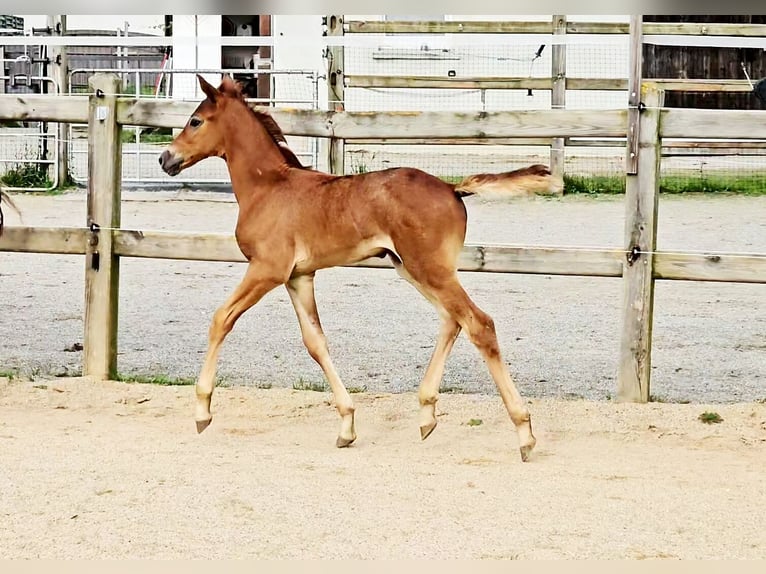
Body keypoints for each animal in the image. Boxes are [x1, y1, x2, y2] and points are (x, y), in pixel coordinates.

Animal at [160, 76, 564, 464]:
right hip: (413, 269)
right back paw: (427, 415)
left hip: (428, 269)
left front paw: (202, 412)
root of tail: (452, 189)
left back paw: (524, 434)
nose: (166, 158)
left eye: (195, 121)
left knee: (479, 323)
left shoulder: (267, 270)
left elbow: (221, 319)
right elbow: (315, 343)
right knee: (453, 321)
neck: (269, 188)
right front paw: (347, 426)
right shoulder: (298, 277)